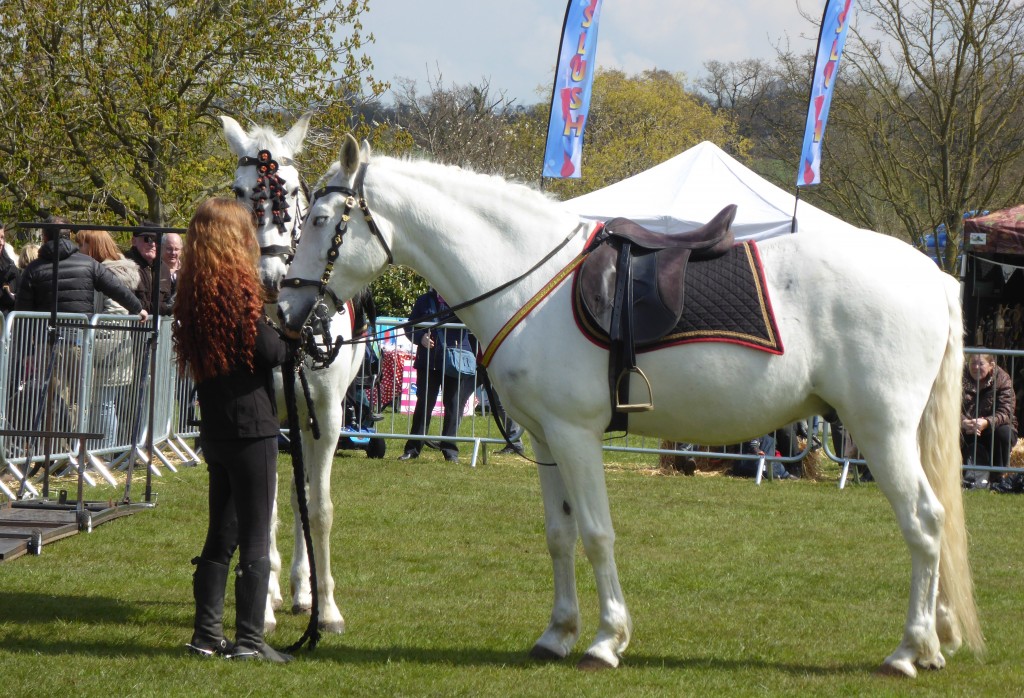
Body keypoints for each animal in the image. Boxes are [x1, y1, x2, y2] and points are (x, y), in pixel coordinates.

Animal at [218, 116, 362, 634]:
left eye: (294, 190)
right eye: (239, 191)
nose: (271, 278)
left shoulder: (326, 416)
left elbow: (318, 509)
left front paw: (327, 607)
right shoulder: (257, 417)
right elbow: (261, 509)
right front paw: (260, 607)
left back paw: (302, 589)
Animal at [276, 134, 978, 675]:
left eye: (319, 221)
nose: (286, 311)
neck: (529, 277)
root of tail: (931, 274)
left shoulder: (576, 436)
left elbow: (595, 532)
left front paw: (606, 640)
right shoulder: (544, 440)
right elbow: (559, 535)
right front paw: (557, 634)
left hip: (881, 431)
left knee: (925, 523)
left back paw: (908, 651)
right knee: (937, 528)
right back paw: (936, 642)